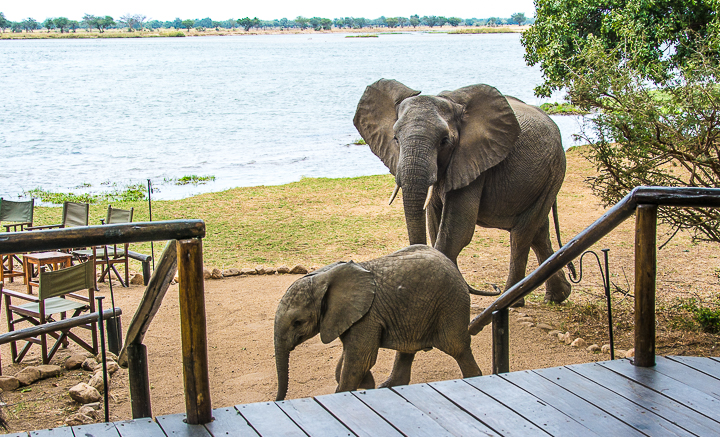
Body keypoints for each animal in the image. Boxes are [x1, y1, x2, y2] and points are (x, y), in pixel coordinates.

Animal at [272, 244, 480, 400]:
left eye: (298, 322)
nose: (277, 400)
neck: (323, 276)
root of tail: (453, 266)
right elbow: (350, 357)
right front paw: (367, 384)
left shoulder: (367, 317)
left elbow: (360, 360)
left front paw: (352, 389)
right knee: (407, 350)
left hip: (450, 305)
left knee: (457, 347)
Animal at [354, 79, 572, 304]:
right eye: (395, 139)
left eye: (444, 141)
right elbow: (435, 224)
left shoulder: (473, 160)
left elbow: (456, 229)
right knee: (538, 232)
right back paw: (558, 296)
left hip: (555, 170)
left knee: (522, 234)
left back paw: (511, 300)